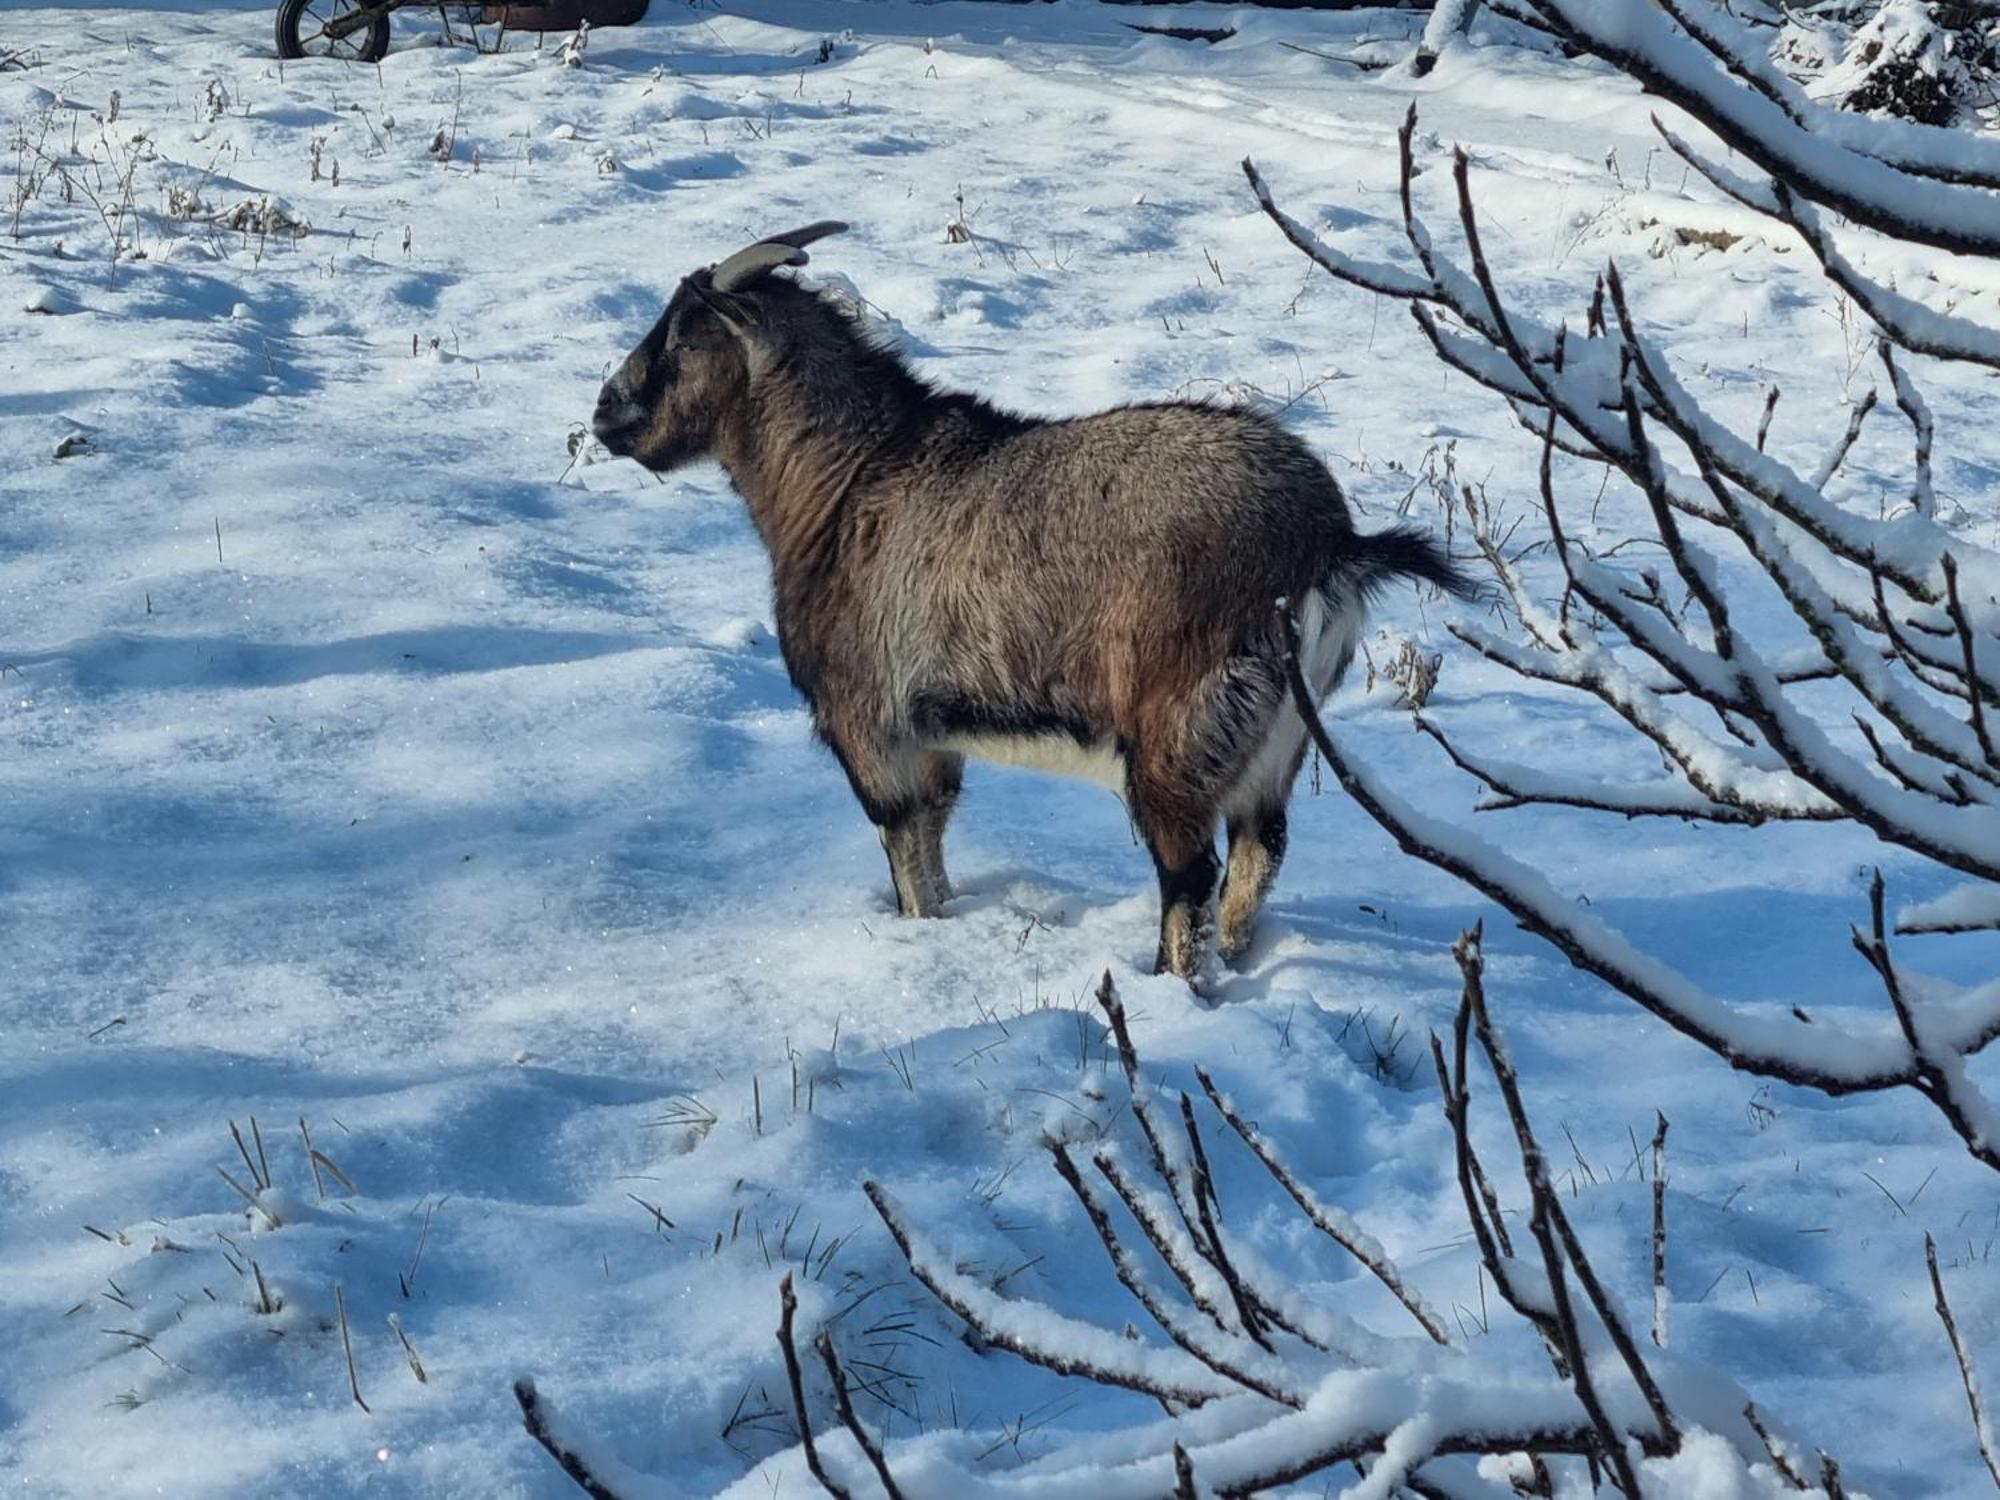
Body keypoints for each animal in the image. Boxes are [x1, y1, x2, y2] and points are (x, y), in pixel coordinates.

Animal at [592, 220, 1472, 976]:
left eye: (682, 337)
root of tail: (1329, 545)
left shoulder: (870, 725)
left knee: (1189, 874)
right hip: (1277, 741)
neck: (843, 484)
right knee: (1261, 851)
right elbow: (936, 841)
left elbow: (907, 853)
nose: (606, 412)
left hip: (1180, 736)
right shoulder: (933, 736)